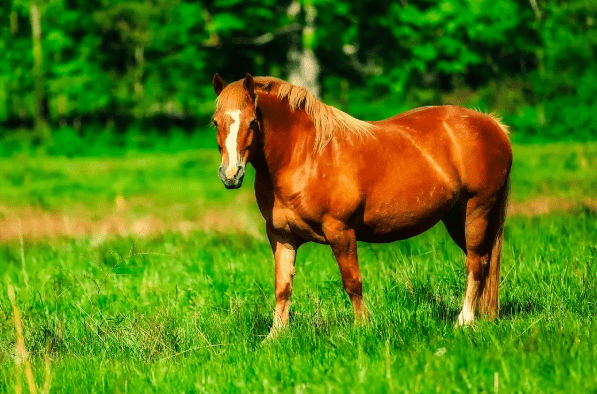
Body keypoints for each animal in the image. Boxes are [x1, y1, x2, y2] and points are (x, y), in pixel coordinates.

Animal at [211, 73, 512, 332]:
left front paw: (362, 328)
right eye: (215, 122)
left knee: (476, 262)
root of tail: (492, 124)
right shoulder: (282, 236)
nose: (230, 174)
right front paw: (276, 336)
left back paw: (464, 320)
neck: (305, 156)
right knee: (485, 261)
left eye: (252, 121)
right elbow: (282, 287)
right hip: (455, 217)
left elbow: (352, 282)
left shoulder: (341, 232)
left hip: (477, 209)